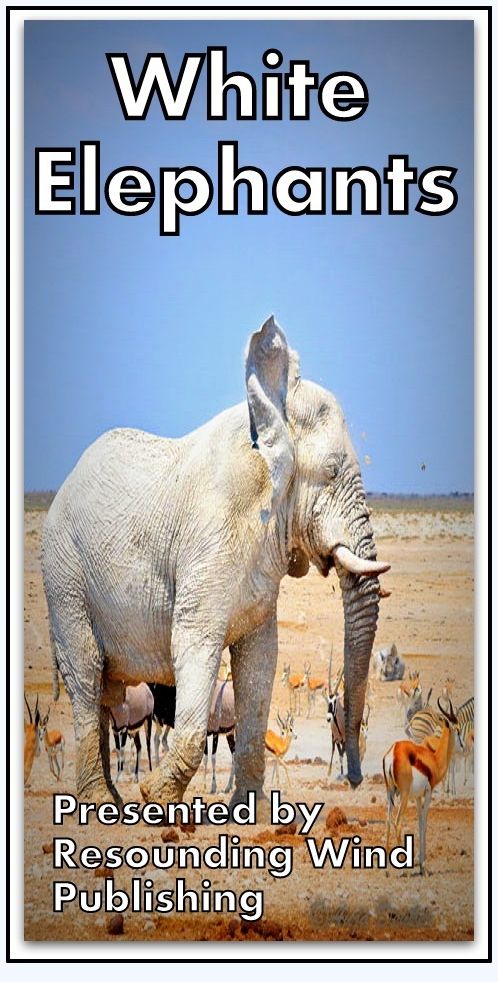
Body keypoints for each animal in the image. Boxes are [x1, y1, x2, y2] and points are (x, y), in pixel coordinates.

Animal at [41, 316, 390, 807]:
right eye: (331, 472)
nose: (356, 779)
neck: (268, 429)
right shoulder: (208, 542)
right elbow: (195, 641)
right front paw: (154, 795)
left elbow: (260, 660)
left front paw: (248, 808)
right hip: (64, 573)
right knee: (87, 679)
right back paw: (97, 804)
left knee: (106, 695)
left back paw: (111, 797)